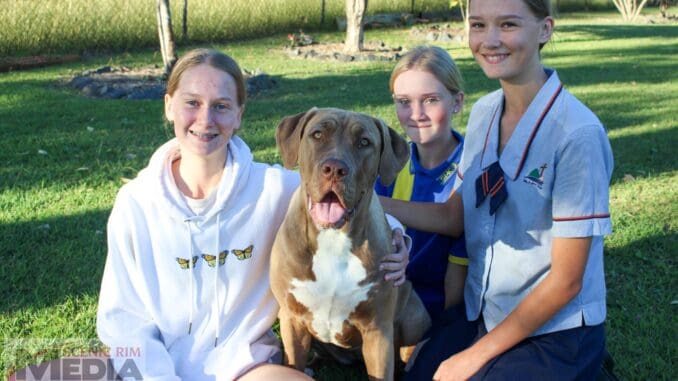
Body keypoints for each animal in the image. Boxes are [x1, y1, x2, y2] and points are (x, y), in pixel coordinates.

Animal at [270, 105, 430, 378]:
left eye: (364, 142)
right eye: (317, 134)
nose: (334, 168)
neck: (333, 239)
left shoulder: (378, 331)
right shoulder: (291, 319)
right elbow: (293, 363)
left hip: (412, 315)